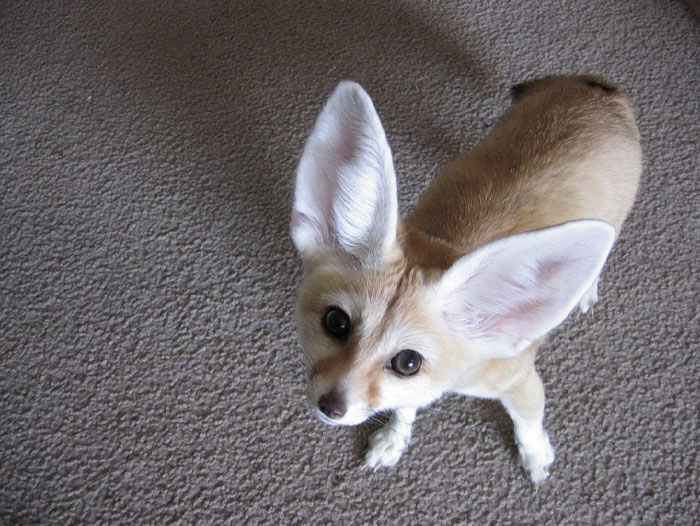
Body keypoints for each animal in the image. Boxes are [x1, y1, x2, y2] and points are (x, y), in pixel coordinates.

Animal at [290, 75, 641, 482]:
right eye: (336, 322)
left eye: (407, 362)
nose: (330, 407)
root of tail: (599, 91)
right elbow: (405, 406)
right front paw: (395, 439)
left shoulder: (521, 382)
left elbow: (529, 423)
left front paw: (536, 454)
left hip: (615, 221)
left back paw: (587, 287)